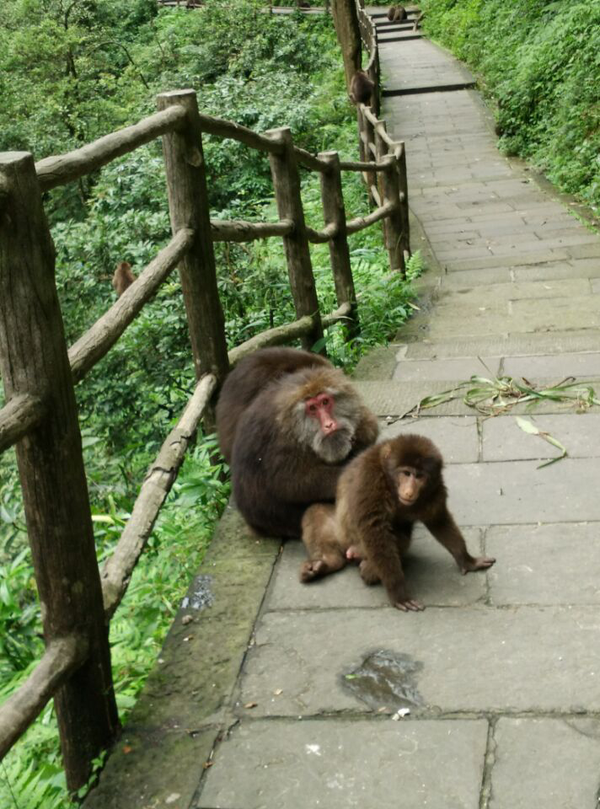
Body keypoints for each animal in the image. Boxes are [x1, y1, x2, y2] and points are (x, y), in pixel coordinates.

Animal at [217, 346, 380, 536]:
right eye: (312, 408)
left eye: (325, 402)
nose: (329, 424)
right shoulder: (281, 440)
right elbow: (291, 482)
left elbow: (369, 426)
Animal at [302, 436, 494, 612]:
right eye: (406, 473)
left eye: (419, 476)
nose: (409, 490)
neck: (390, 482)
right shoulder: (370, 478)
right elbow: (374, 529)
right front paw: (398, 593)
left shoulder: (435, 488)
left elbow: (438, 520)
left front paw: (467, 560)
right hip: (343, 535)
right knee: (316, 511)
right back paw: (330, 561)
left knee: (401, 538)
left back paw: (367, 567)